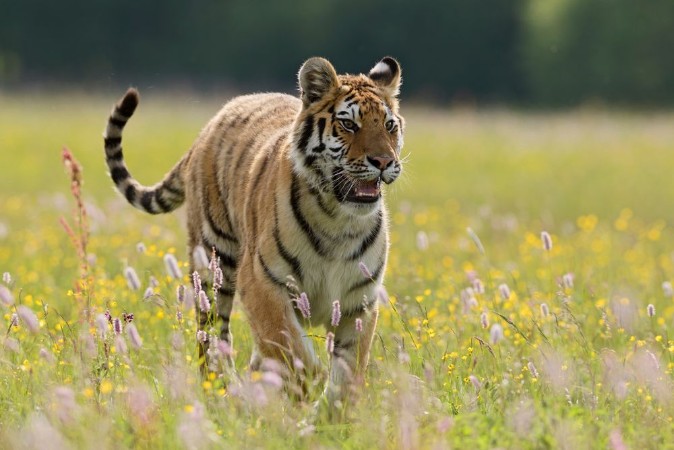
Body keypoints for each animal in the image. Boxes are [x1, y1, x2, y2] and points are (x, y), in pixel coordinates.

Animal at [103, 57, 405, 408]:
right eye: (349, 125)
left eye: (389, 126)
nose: (383, 161)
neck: (339, 221)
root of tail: (208, 128)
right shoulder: (263, 282)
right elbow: (291, 349)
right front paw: (308, 389)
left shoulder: (360, 301)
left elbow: (349, 372)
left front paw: (329, 413)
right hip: (214, 262)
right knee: (213, 336)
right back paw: (220, 389)